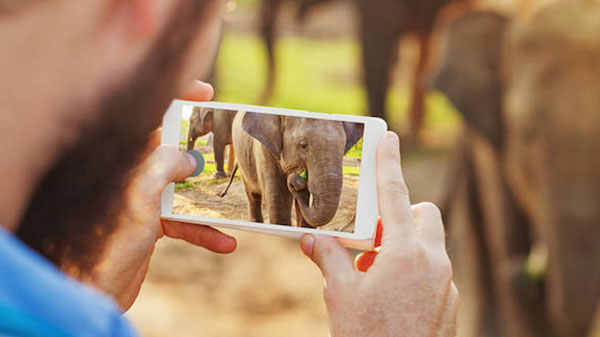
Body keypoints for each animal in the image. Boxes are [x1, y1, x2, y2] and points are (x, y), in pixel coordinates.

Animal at [231, 111, 364, 227]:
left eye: (343, 147)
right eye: (303, 145)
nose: (297, 181)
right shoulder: (264, 150)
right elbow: (278, 203)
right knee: (253, 196)